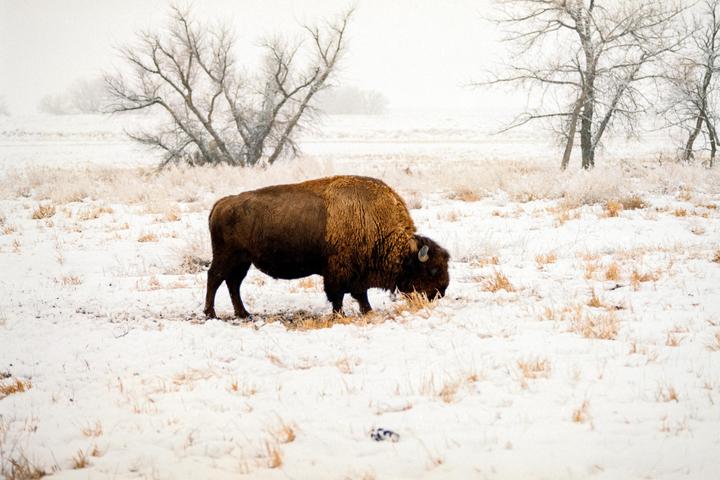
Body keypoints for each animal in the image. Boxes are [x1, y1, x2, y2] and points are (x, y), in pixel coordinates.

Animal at [204, 175, 449, 318]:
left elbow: (360, 294)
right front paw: (340, 315)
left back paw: (243, 313)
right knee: (215, 278)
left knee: (233, 283)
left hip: (243, 261)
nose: (441, 292)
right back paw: (211, 314)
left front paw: (367, 311)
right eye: (433, 269)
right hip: (227, 257)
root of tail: (222, 203)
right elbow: (338, 295)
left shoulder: (358, 274)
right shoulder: (338, 272)